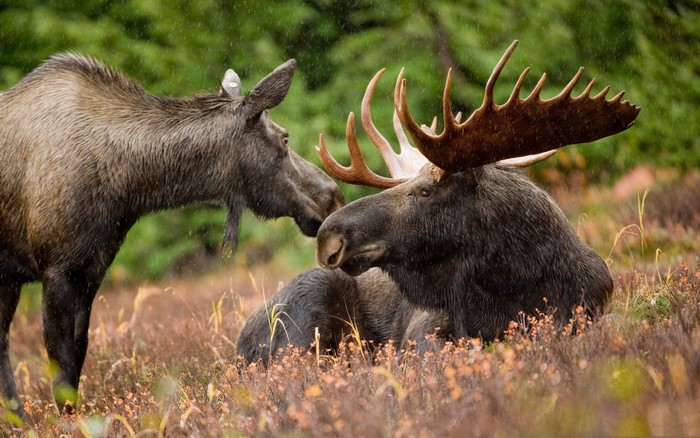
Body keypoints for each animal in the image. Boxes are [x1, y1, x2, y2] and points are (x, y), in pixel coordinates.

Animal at [0, 55, 344, 417]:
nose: (332, 195)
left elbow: (79, 353)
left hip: (9, 279)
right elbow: (61, 364)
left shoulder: (91, 270)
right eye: (285, 138)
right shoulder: (56, 270)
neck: (128, 187)